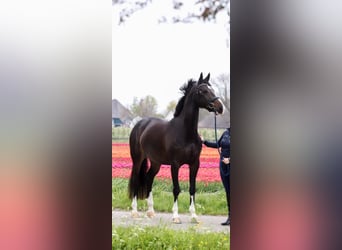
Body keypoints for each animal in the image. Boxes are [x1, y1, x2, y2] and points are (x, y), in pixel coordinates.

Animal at [127, 72, 222, 223]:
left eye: (212, 89)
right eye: (203, 91)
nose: (220, 107)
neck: (185, 132)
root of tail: (140, 124)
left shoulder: (195, 164)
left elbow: (192, 188)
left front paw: (194, 216)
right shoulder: (175, 164)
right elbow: (176, 189)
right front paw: (176, 216)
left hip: (156, 162)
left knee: (148, 178)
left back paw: (151, 211)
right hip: (137, 160)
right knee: (136, 179)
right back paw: (135, 212)